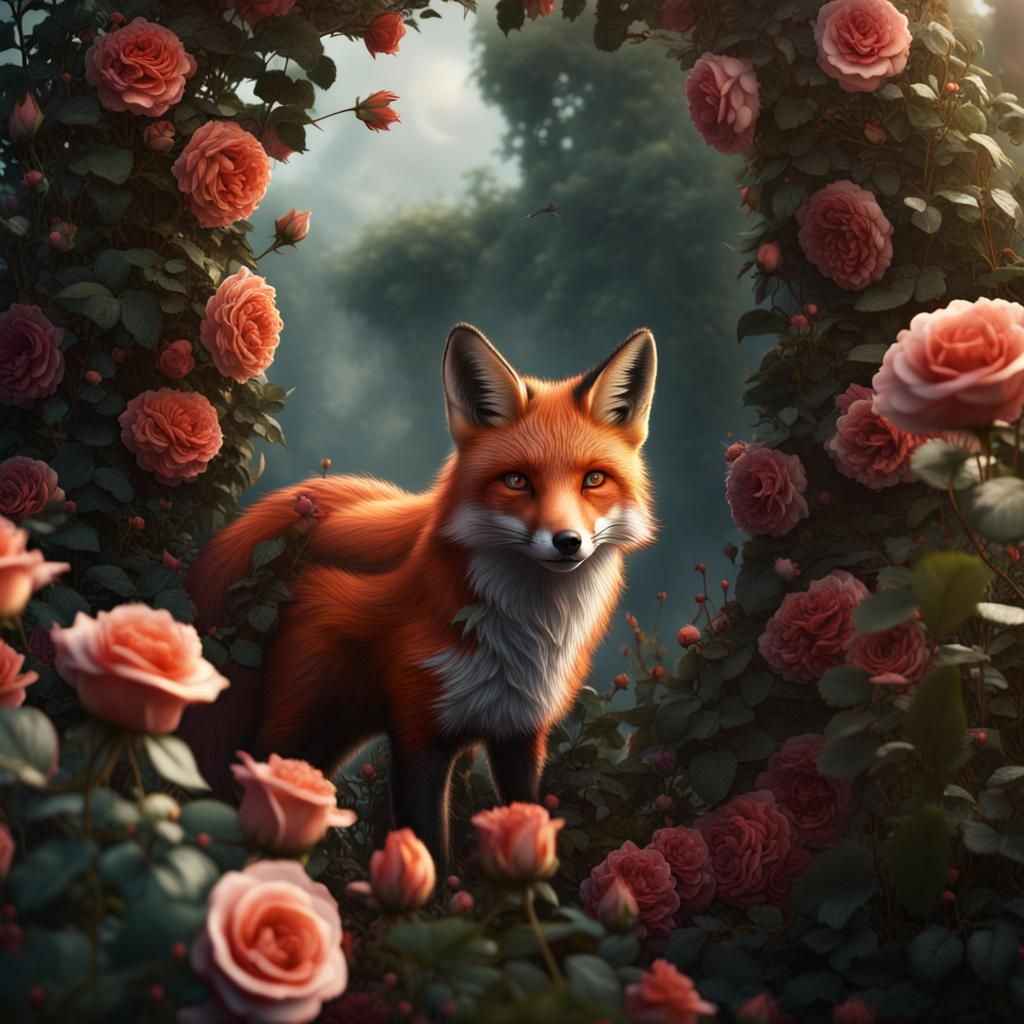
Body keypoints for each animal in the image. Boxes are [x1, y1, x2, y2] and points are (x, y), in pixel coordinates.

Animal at [181, 323, 657, 862]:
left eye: (593, 479)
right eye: (517, 481)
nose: (567, 542)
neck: (525, 638)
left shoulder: (521, 733)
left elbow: (528, 817)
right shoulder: (417, 730)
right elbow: (428, 848)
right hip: (299, 722)